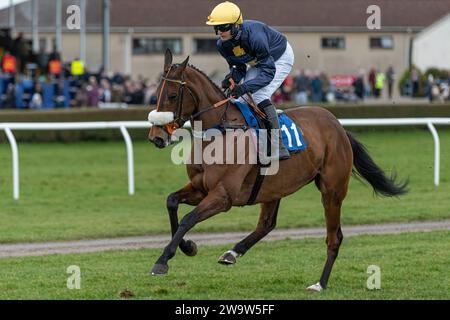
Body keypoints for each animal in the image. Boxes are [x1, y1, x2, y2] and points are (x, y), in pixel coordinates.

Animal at [147, 48, 408, 292]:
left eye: (172, 95)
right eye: (156, 95)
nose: (156, 137)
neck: (221, 131)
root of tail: (338, 126)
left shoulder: (223, 196)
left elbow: (188, 219)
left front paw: (162, 261)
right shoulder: (200, 187)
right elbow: (171, 202)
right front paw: (187, 246)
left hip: (332, 190)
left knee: (334, 237)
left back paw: (320, 283)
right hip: (274, 186)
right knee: (267, 224)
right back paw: (232, 253)